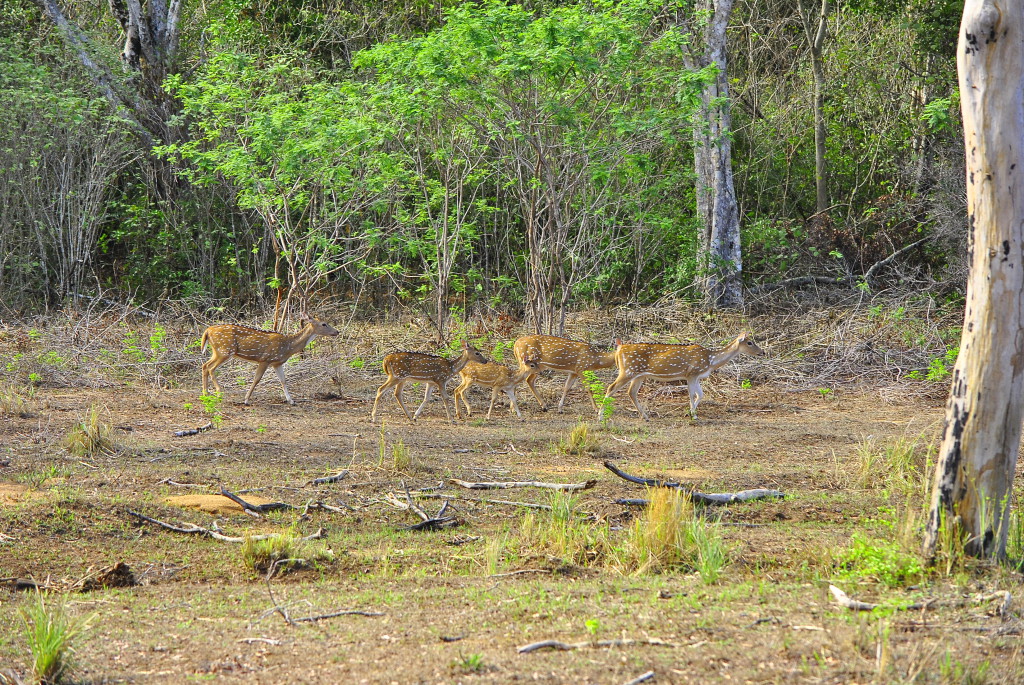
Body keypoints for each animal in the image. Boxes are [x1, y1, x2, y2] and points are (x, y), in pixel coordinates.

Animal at [199, 317, 339, 403]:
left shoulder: (277, 363)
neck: (288, 346)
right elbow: (257, 379)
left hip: (218, 351)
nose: (337, 331)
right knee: (210, 367)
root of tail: (207, 331)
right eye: (324, 324)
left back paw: (205, 394)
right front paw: (246, 399)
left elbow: (283, 380)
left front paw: (291, 400)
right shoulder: (265, 359)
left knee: (205, 365)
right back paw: (218, 391)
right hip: (224, 350)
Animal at [602, 331, 765, 419]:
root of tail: (619, 349)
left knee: (631, 392)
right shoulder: (692, 373)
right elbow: (692, 394)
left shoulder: (696, 376)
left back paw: (646, 416)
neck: (710, 361)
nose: (762, 352)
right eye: (750, 342)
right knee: (610, 388)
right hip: (627, 371)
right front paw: (694, 415)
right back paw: (600, 416)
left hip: (638, 374)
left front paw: (690, 412)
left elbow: (701, 395)